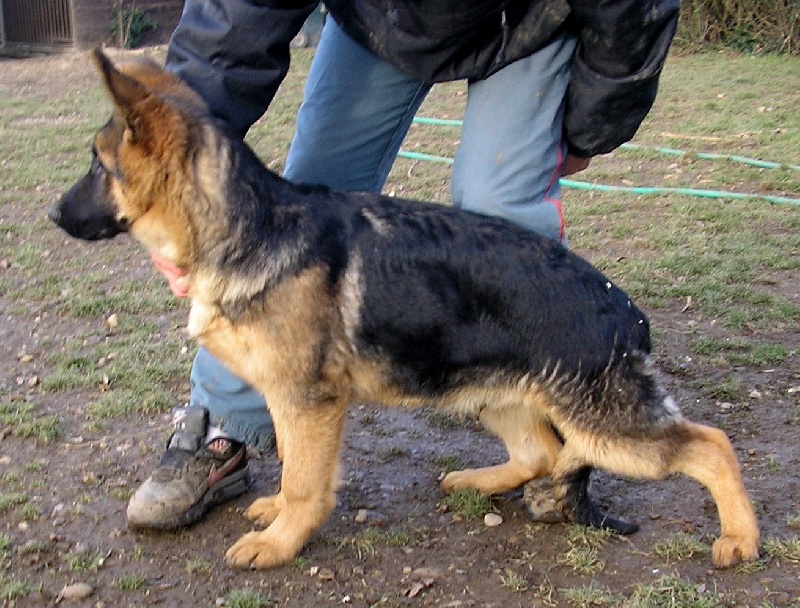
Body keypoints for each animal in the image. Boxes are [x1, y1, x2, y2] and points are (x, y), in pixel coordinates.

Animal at [47, 51, 760, 568]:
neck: (249, 226)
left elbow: (306, 480)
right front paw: (276, 511)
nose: (51, 214)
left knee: (710, 445)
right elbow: (296, 467)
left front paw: (281, 542)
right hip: (495, 395)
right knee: (539, 453)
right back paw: (482, 479)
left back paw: (740, 538)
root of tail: (624, 311)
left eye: (97, 166)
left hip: (606, 429)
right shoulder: (292, 400)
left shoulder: (308, 400)